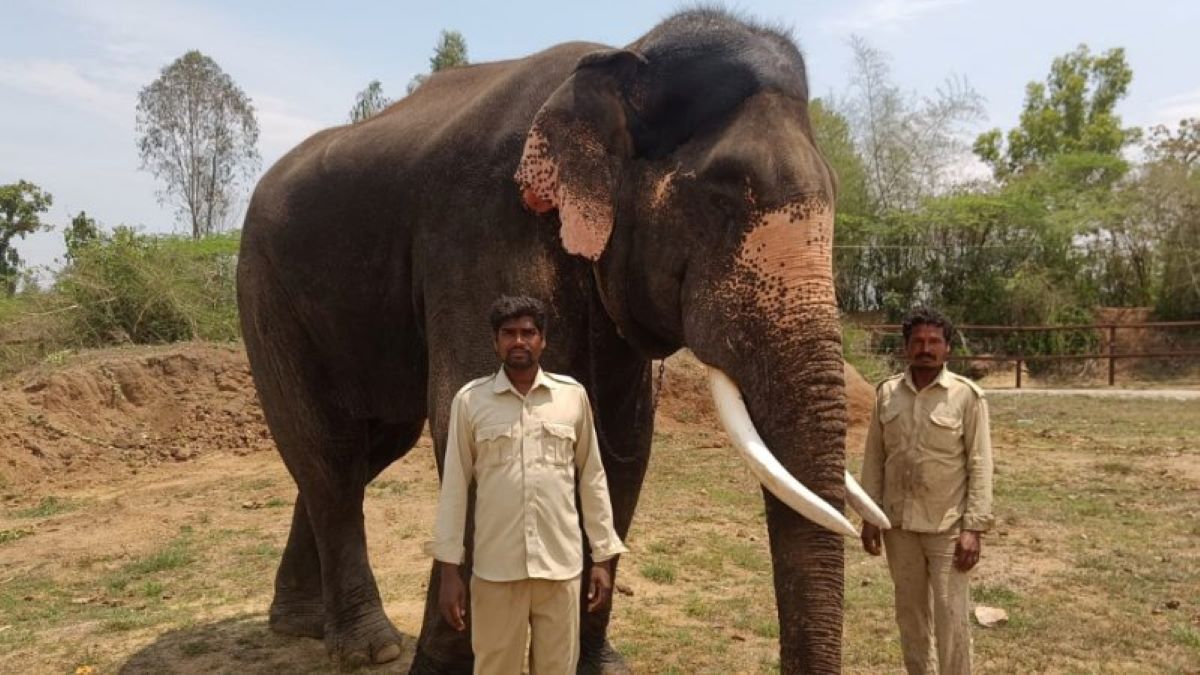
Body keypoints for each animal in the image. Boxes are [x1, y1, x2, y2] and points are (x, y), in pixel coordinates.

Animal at [236, 8, 887, 674]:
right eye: (721, 196)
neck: (622, 56)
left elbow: (622, 447)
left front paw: (600, 664)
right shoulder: (481, 223)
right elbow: (457, 416)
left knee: (370, 446)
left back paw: (299, 625)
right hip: (265, 290)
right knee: (329, 453)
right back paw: (370, 647)